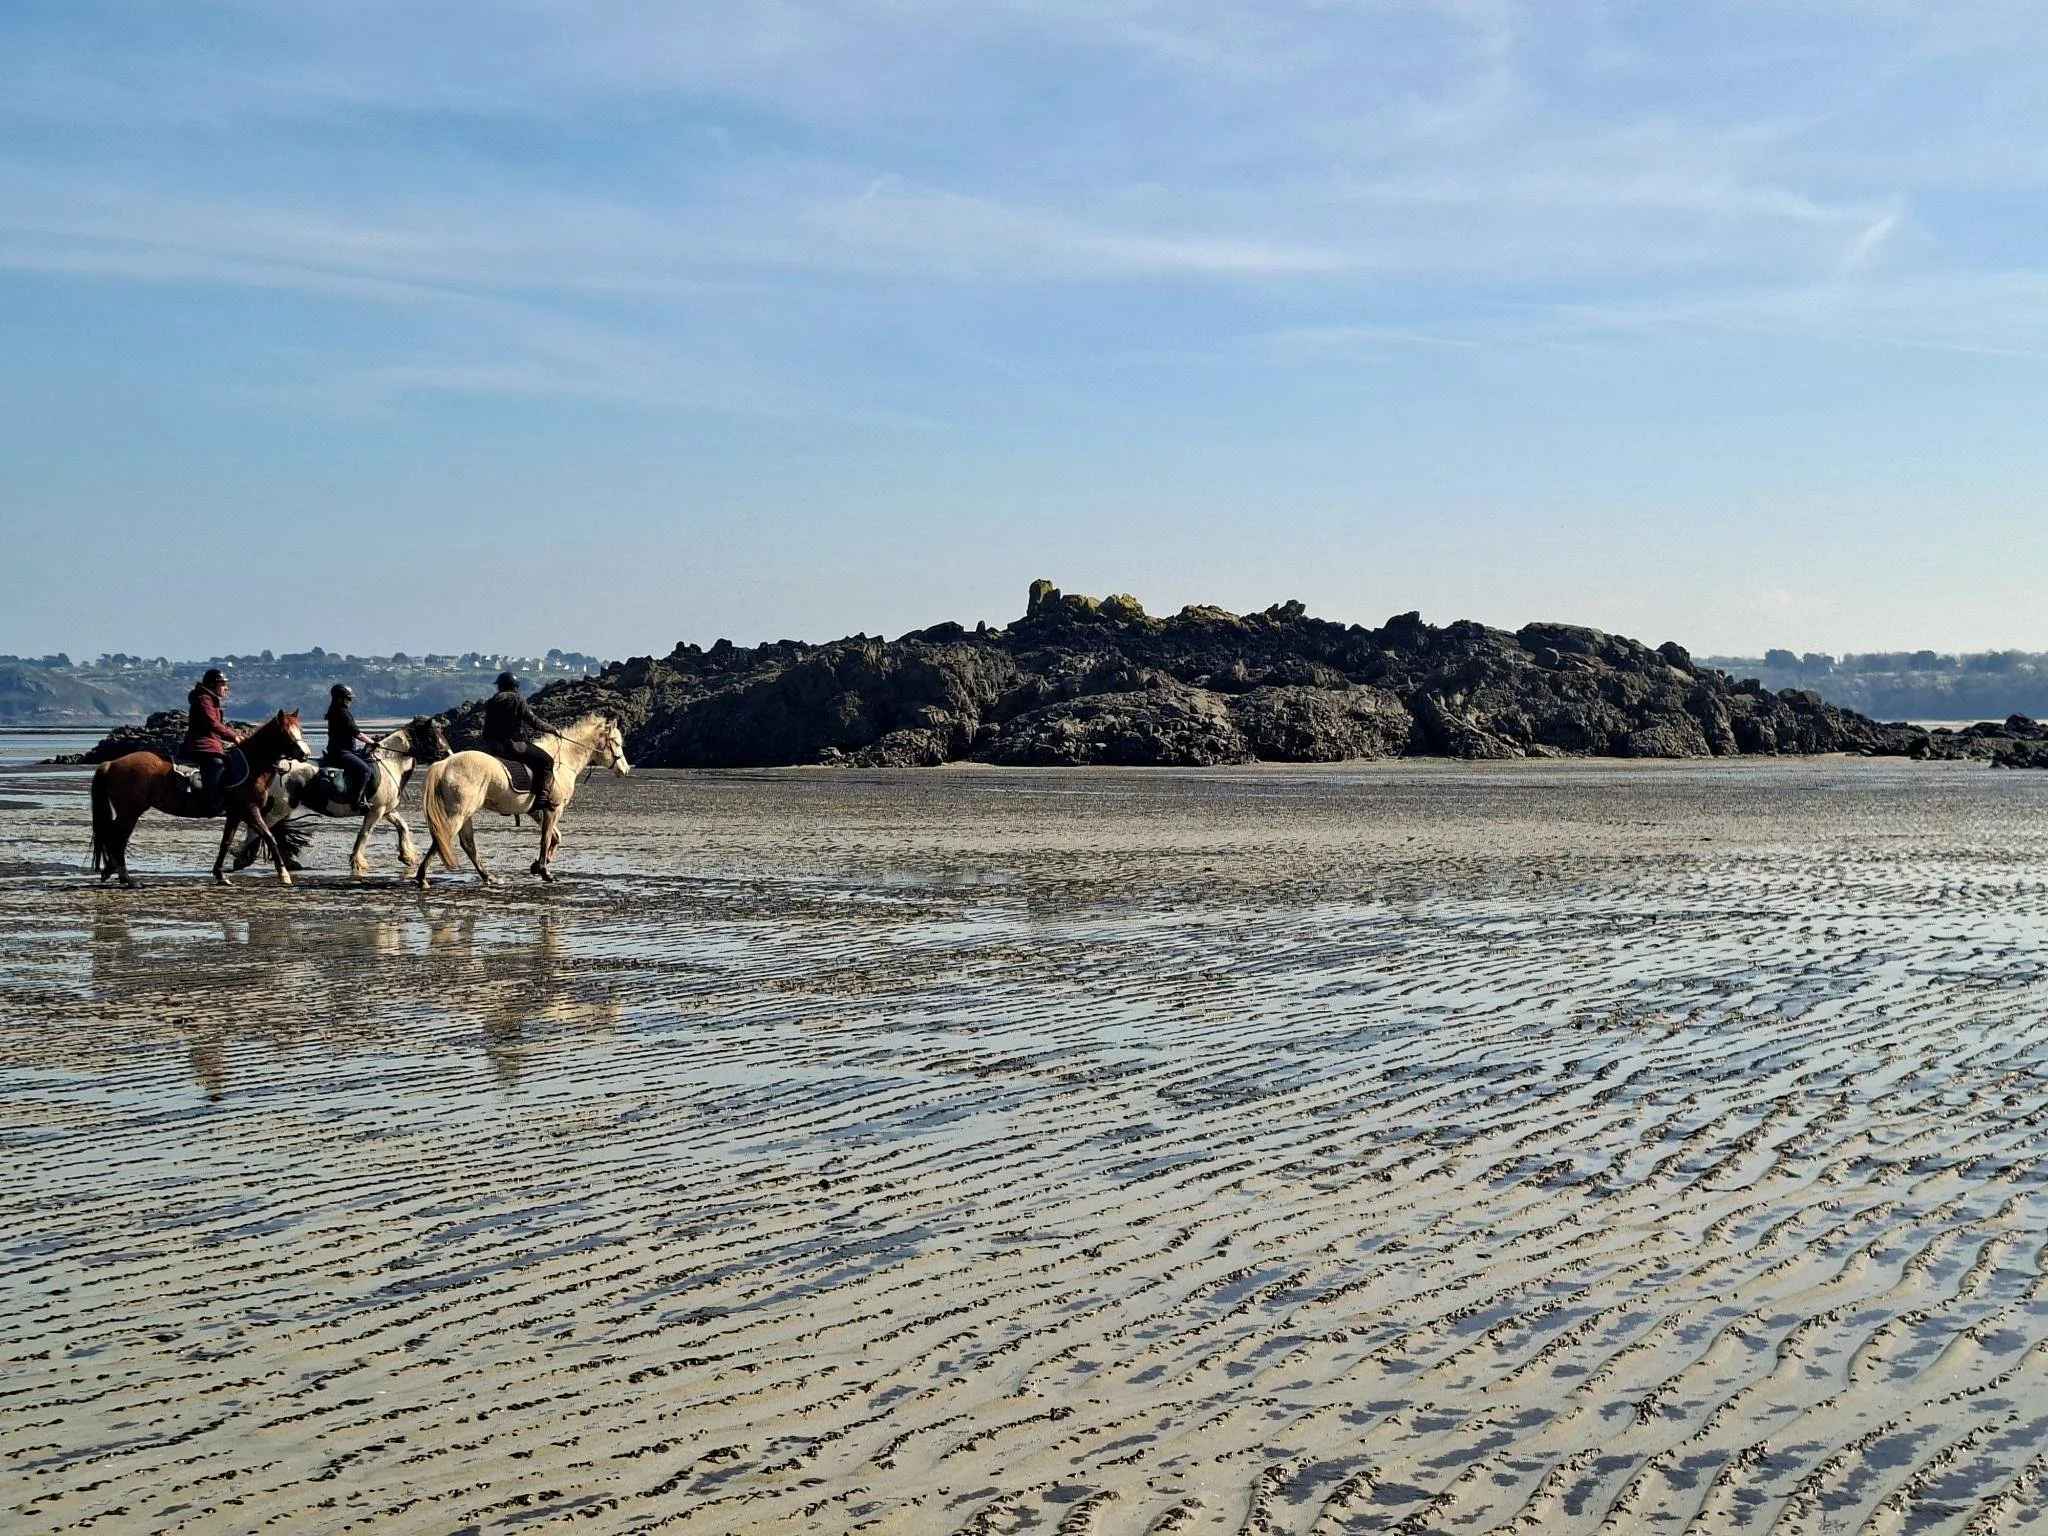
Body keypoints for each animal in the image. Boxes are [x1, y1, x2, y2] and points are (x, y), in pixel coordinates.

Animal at [89, 710, 312, 888]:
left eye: (300, 730)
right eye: (285, 732)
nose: (305, 754)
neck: (251, 765)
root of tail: (111, 763)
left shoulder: (235, 814)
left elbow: (225, 843)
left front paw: (220, 875)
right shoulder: (249, 809)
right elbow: (269, 836)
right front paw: (284, 875)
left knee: (113, 838)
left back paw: (112, 871)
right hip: (130, 813)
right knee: (117, 839)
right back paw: (126, 878)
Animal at [231, 716, 453, 878]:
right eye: (433, 734)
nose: (449, 755)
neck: (390, 763)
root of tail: (278, 767)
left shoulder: (386, 809)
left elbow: (402, 827)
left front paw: (407, 856)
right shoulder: (376, 811)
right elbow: (364, 835)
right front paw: (359, 863)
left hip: (283, 809)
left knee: (270, 831)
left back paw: (284, 862)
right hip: (280, 808)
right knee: (259, 829)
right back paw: (242, 858)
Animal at [413, 713, 630, 887]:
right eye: (616, 742)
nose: (625, 770)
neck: (562, 762)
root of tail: (444, 764)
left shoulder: (536, 810)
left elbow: (556, 837)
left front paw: (537, 865)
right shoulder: (554, 809)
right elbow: (546, 838)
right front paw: (544, 871)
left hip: (465, 815)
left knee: (468, 845)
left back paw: (488, 877)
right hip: (458, 814)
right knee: (443, 840)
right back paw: (422, 878)